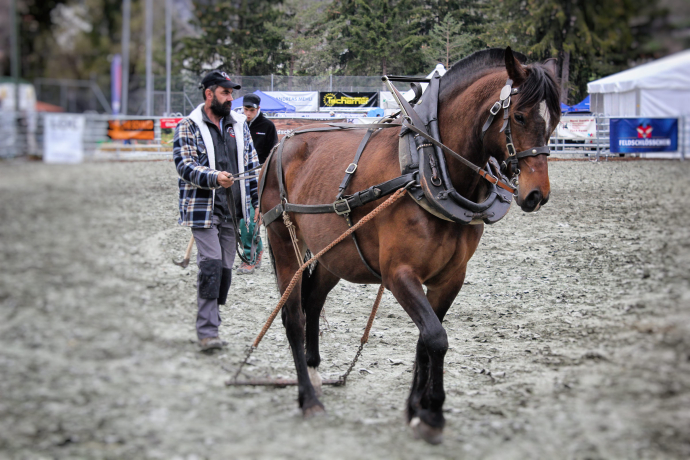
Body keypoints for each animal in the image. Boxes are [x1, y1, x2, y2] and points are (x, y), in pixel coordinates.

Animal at [258, 47, 560, 444]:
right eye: (520, 115)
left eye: (555, 119)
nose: (537, 194)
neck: (426, 166)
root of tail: (284, 141)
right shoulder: (399, 274)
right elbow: (435, 337)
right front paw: (432, 412)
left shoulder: (450, 278)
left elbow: (425, 340)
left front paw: (416, 408)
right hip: (283, 243)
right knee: (293, 316)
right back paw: (308, 398)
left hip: (332, 254)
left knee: (312, 301)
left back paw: (313, 371)